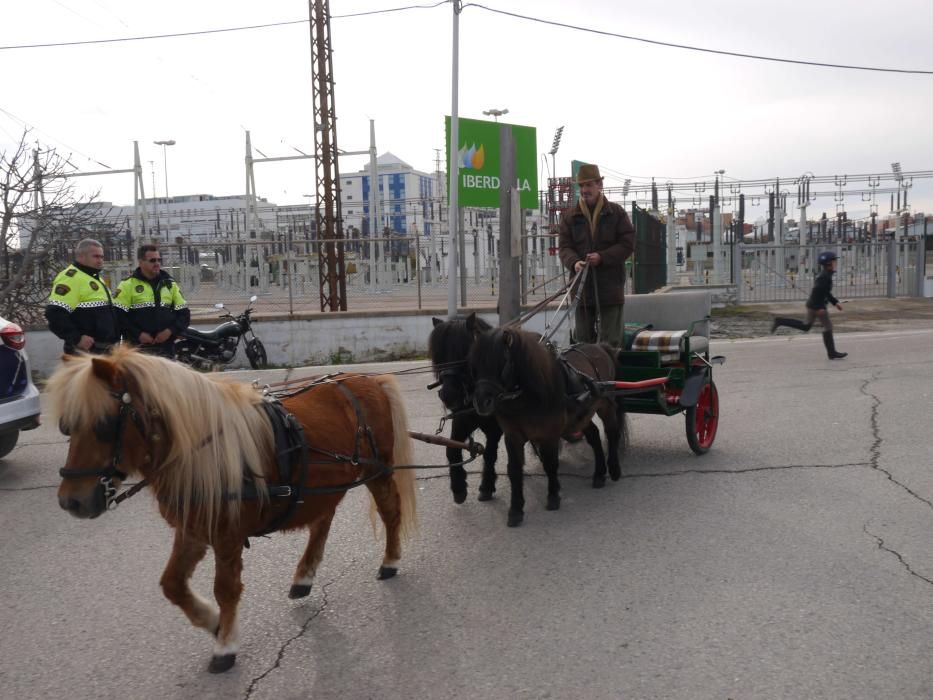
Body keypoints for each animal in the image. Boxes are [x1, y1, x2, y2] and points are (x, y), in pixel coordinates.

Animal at [48, 348, 416, 676]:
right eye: (66, 427)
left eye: (105, 424)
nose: (71, 502)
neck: (199, 451)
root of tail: (369, 380)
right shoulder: (193, 531)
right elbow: (172, 584)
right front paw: (212, 622)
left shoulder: (227, 536)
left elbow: (225, 588)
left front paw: (225, 644)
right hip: (324, 486)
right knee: (322, 522)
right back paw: (304, 576)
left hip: (377, 472)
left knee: (390, 513)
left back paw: (390, 560)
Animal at [430, 314, 502, 506]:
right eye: (439, 355)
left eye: (465, 352)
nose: (448, 396)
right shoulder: (461, 421)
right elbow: (451, 449)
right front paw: (458, 488)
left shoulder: (495, 429)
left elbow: (490, 454)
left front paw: (486, 486)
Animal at [466, 320, 628, 528]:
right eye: (475, 365)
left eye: (501, 362)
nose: (480, 402)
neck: (526, 396)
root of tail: (600, 346)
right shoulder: (513, 436)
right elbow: (514, 470)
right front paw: (516, 509)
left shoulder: (550, 434)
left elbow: (551, 464)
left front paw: (553, 496)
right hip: (581, 413)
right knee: (593, 435)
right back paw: (599, 474)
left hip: (605, 404)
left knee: (612, 431)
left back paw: (614, 468)